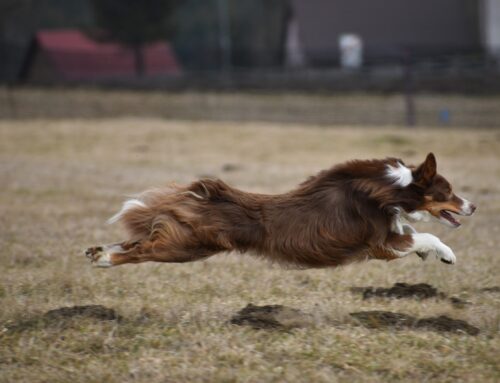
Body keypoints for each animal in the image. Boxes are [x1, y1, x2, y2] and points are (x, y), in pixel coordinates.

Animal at [86, 154, 476, 270]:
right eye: (449, 192)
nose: (473, 206)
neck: (393, 189)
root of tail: (204, 194)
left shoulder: (388, 235)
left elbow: (416, 233)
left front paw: (430, 254)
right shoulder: (381, 243)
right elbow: (425, 234)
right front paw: (446, 254)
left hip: (183, 241)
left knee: (138, 240)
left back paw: (97, 251)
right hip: (185, 246)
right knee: (141, 249)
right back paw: (105, 259)